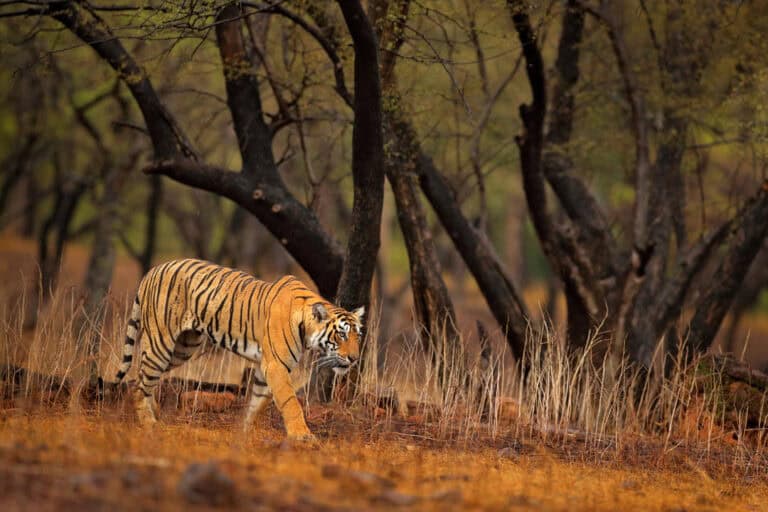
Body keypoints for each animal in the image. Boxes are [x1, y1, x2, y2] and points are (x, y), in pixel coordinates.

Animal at [111, 258, 363, 441]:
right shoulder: (276, 366)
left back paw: (156, 414)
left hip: (183, 347)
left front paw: (245, 431)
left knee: (146, 379)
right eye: (341, 334)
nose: (354, 358)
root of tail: (153, 270)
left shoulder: (265, 368)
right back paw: (149, 423)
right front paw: (302, 436)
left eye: (357, 335)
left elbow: (258, 402)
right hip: (161, 342)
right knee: (138, 382)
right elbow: (290, 402)